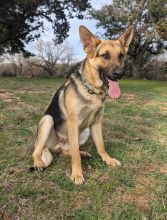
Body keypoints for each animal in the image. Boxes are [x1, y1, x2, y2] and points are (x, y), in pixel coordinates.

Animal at [30, 24, 134, 185]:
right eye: (105, 55)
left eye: (121, 56)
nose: (119, 73)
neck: (92, 90)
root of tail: (55, 147)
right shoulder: (73, 123)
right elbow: (75, 155)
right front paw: (77, 174)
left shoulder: (96, 123)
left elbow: (101, 145)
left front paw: (108, 160)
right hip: (48, 121)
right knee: (37, 151)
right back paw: (39, 162)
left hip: (84, 132)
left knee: (67, 151)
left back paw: (83, 152)